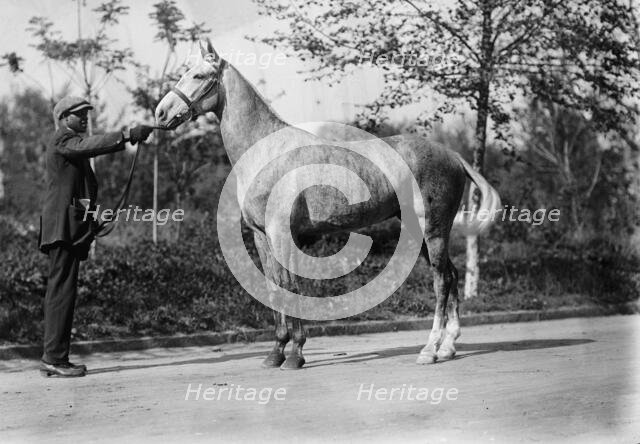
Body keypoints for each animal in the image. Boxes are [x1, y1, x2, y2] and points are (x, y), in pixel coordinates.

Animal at [155, 39, 501, 370]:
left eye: (199, 76)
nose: (160, 113)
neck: (266, 152)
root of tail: (452, 155)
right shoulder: (261, 237)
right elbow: (274, 287)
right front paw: (275, 353)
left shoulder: (282, 234)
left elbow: (290, 285)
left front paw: (295, 355)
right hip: (421, 232)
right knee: (451, 275)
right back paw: (448, 347)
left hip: (434, 228)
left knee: (442, 281)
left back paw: (429, 351)